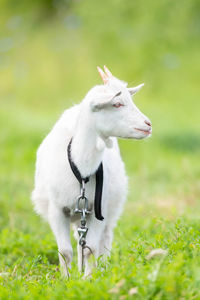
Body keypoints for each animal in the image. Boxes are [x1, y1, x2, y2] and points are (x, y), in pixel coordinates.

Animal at [32, 65, 152, 276]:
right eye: (117, 104)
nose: (148, 124)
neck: (81, 171)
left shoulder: (98, 209)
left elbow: (91, 249)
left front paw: (88, 278)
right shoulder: (57, 210)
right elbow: (65, 251)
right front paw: (66, 279)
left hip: (110, 209)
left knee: (103, 240)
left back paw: (101, 269)